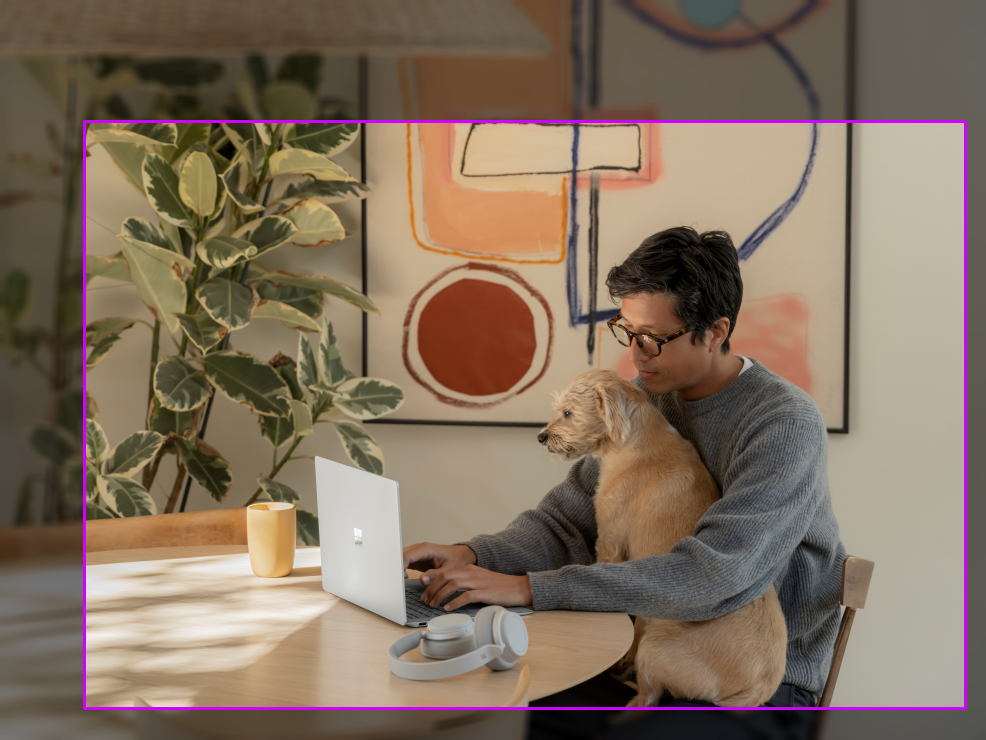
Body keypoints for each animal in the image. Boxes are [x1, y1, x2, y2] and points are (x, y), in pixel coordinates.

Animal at [540, 368, 784, 704]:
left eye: (567, 413)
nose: (541, 437)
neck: (633, 442)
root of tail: (759, 687)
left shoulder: (610, 545)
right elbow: (639, 619)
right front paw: (624, 657)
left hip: (656, 649)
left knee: (648, 697)